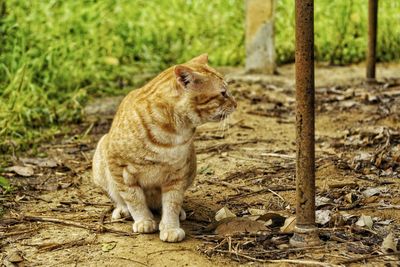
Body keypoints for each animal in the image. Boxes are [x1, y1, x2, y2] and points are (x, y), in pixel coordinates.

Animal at [92, 54, 236, 243]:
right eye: (223, 93)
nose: (236, 103)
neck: (172, 133)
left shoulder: (177, 173)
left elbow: (172, 203)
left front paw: (170, 227)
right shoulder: (119, 167)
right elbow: (134, 199)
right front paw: (144, 221)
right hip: (101, 158)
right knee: (120, 198)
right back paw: (123, 210)